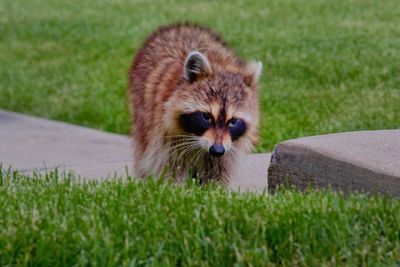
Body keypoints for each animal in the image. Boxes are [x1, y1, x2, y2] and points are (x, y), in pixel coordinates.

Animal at [129, 23, 262, 185]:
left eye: (233, 121)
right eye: (206, 116)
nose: (216, 150)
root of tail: (183, 26)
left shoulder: (230, 145)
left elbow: (220, 167)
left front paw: (215, 188)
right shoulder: (163, 130)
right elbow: (169, 164)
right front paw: (172, 187)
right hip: (142, 112)